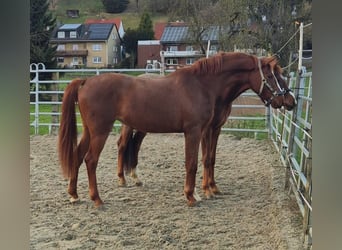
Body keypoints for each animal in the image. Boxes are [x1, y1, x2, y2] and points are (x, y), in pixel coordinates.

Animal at [57, 51, 296, 207]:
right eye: (272, 75)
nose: (290, 100)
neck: (203, 85)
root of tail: (86, 81)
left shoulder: (210, 130)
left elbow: (209, 159)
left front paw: (210, 189)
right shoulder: (194, 132)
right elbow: (193, 163)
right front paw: (192, 195)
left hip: (90, 132)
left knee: (78, 156)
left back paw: (74, 194)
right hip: (101, 132)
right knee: (91, 160)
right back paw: (97, 199)